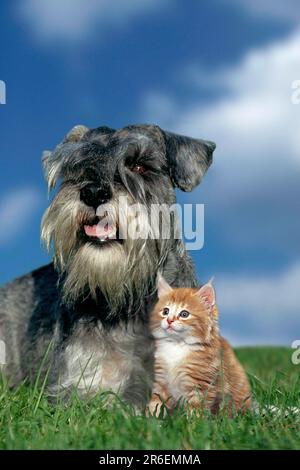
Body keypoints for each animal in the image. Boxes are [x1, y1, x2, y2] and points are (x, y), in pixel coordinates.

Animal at [149, 278, 252, 416]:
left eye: (184, 314)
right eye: (165, 311)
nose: (169, 320)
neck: (177, 346)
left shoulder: (199, 385)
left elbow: (195, 410)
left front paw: (192, 421)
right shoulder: (160, 380)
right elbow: (156, 403)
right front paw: (151, 418)